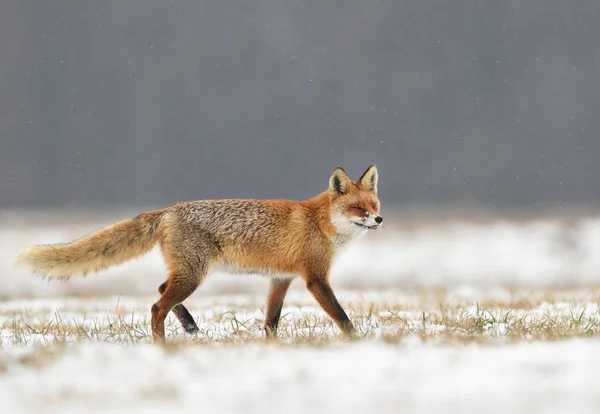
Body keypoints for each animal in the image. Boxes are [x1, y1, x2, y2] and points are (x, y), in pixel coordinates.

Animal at [16, 166, 382, 342]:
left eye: (374, 205)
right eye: (357, 208)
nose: (379, 220)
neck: (320, 223)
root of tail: (169, 209)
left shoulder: (281, 278)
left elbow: (271, 320)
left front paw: (270, 344)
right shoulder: (315, 278)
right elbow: (341, 316)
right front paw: (356, 340)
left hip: (187, 273)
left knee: (161, 292)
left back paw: (189, 325)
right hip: (194, 275)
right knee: (156, 306)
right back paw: (162, 344)